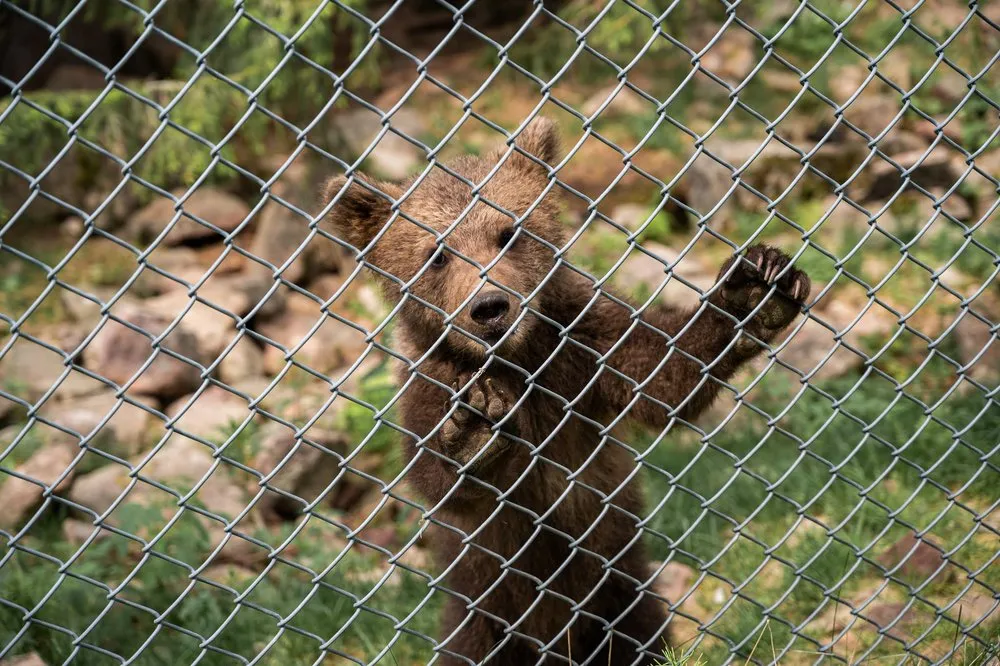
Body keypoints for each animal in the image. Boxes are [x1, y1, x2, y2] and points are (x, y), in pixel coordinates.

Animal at [321, 117, 810, 665]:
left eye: (508, 232)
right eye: (438, 254)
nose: (489, 307)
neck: (518, 360)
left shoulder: (581, 346)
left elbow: (661, 374)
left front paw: (753, 290)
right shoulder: (432, 377)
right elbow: (438, 475)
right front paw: (474, 431)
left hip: (621, 598)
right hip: (486, 624)